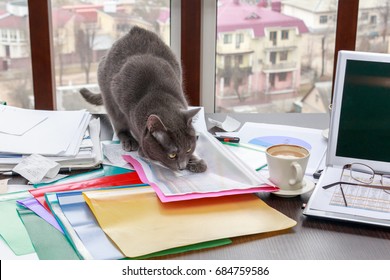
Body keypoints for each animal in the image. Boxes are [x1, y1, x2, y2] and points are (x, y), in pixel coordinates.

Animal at [79, 26, 207, 173]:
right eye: (172, 155)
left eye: (188, 149)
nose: (182, 167)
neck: (159, 97)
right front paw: (143, 150)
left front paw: (196, 161)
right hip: (110, 99)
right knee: (118, 125)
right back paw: (129, 141)